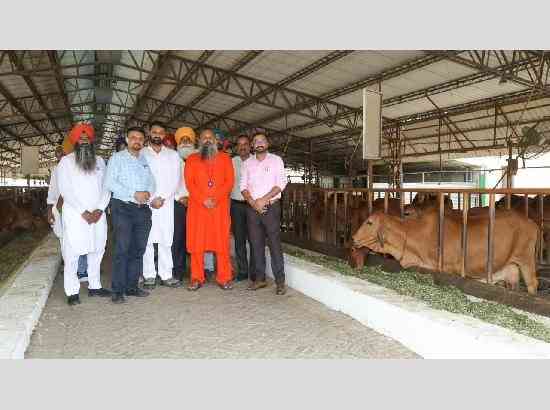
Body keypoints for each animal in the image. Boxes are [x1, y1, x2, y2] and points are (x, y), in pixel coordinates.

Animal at [352, 208, 540, 294]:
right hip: (512, 268)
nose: (353, 238)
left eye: (369, 222)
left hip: (526, 259)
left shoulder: (449, 269)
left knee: (532, 283)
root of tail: (531, 222)